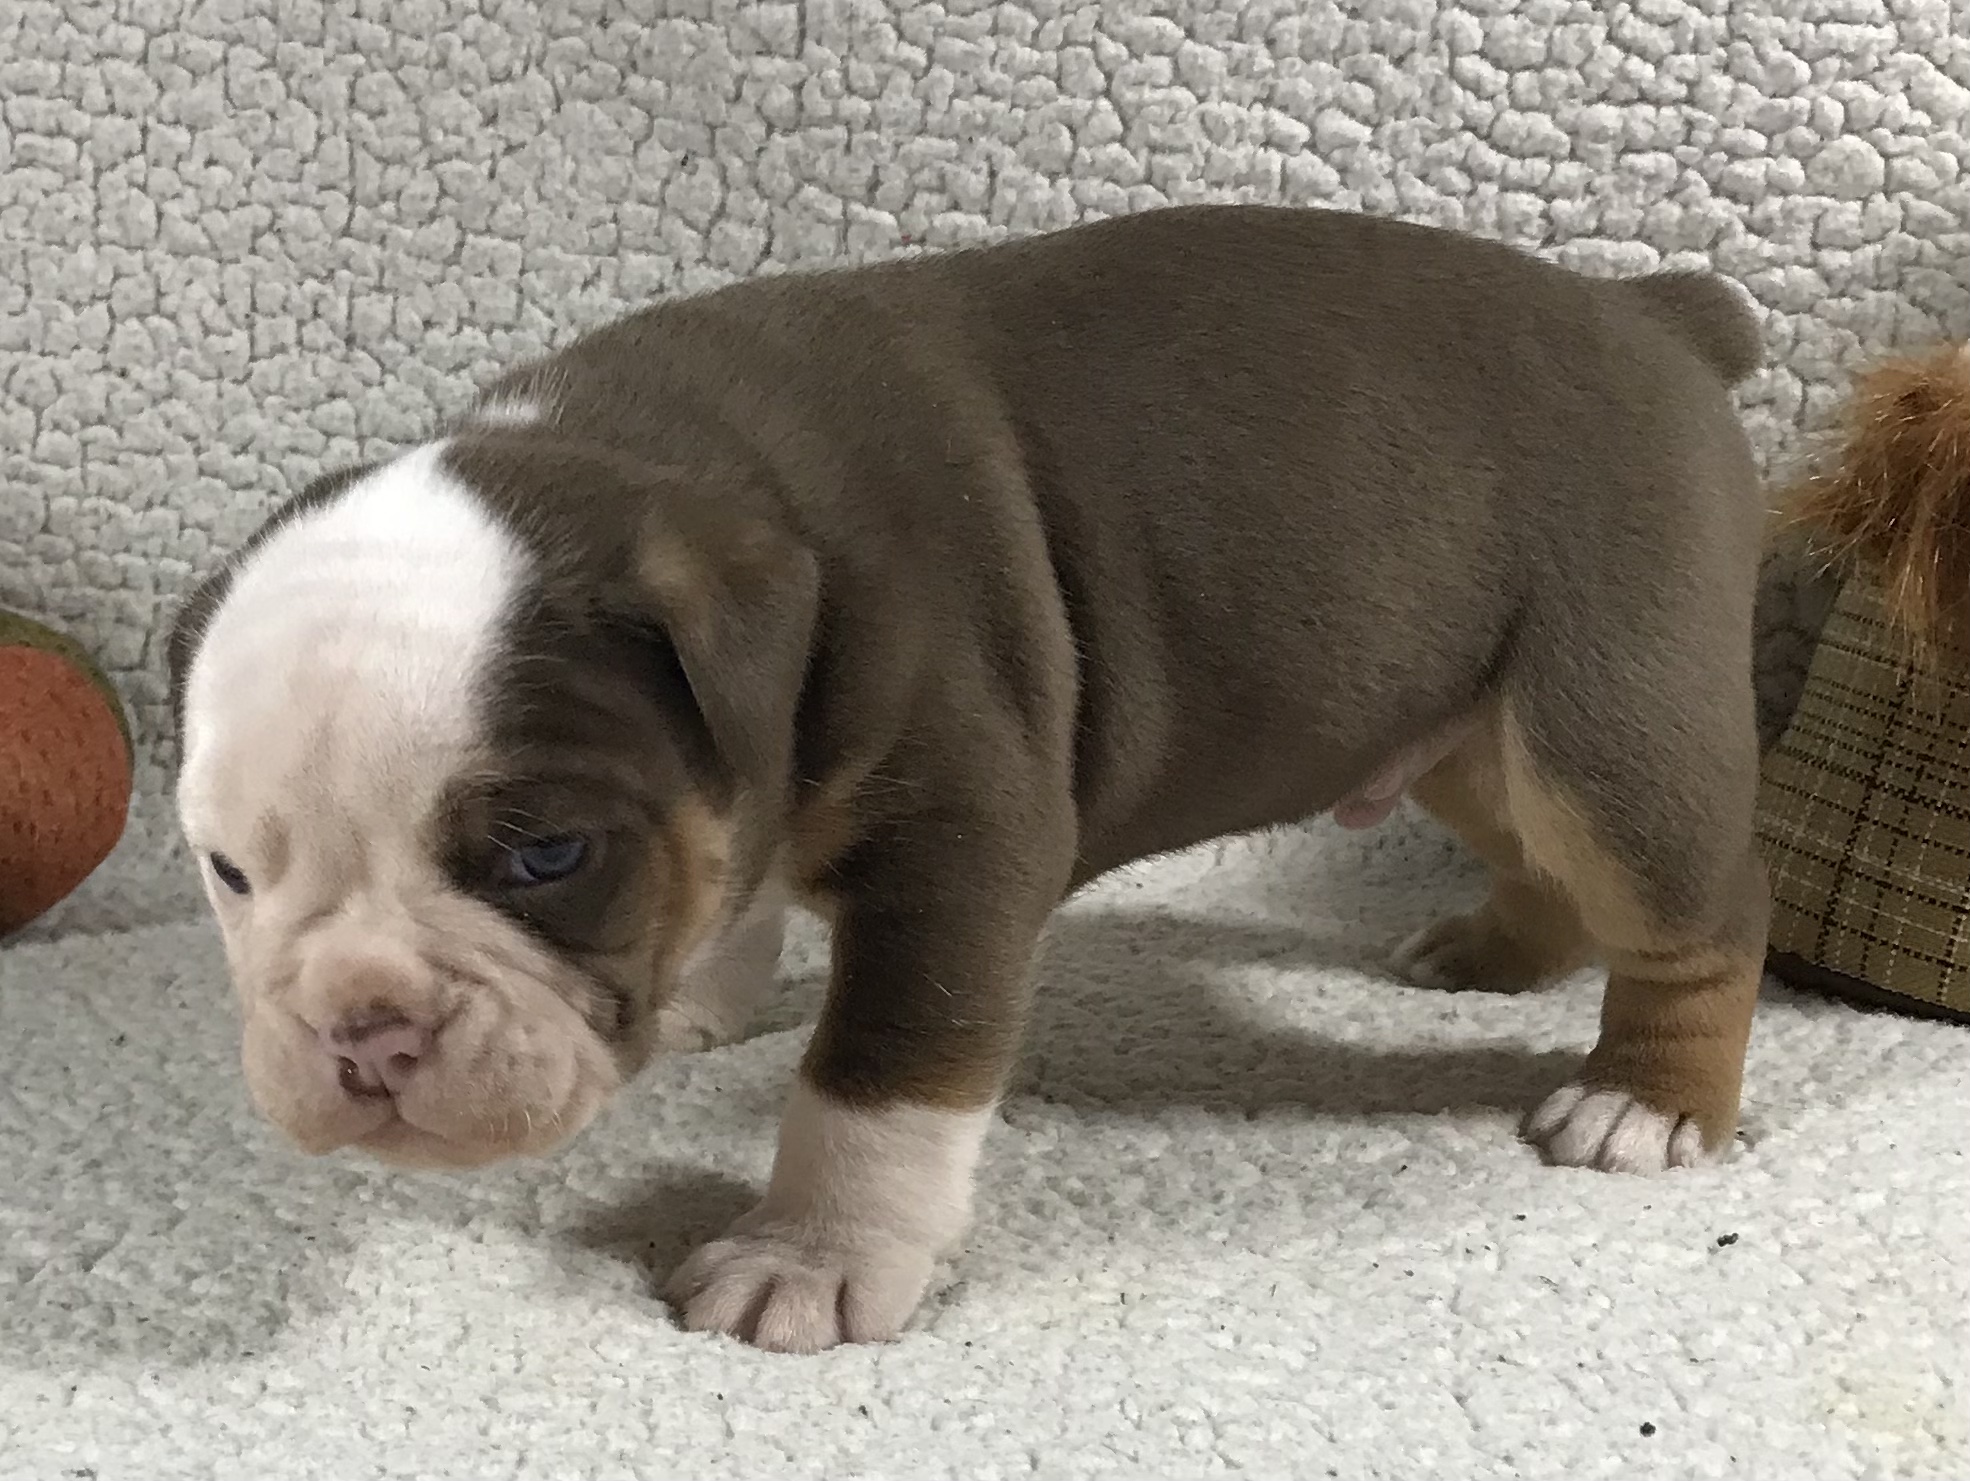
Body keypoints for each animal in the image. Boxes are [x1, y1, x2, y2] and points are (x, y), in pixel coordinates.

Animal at [170, 203, 1770, 1353]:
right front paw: (704, 995)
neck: (655, 466)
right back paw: (1485, 953)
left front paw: (808, 1259)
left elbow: (877, 1080)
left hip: (1605, 708)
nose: (360, 1029)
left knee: (1689, 909)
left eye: (547, 857)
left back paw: (1640, 1101)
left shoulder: (957, 849)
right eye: (229, 871)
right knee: (1533, 852)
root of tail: (1655, 315)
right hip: (1454, 715)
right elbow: (736, 883)